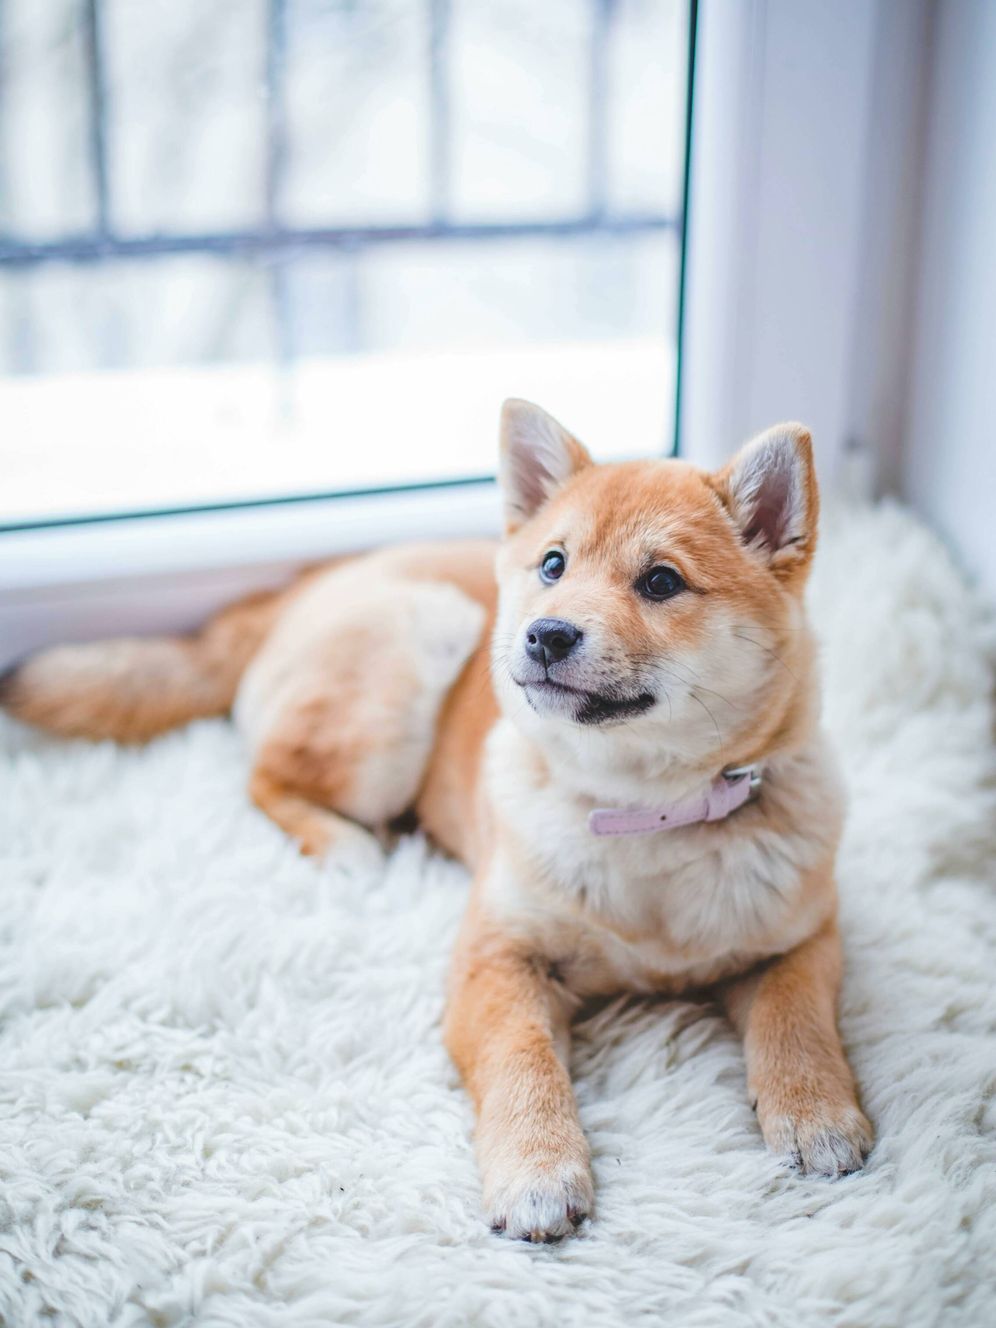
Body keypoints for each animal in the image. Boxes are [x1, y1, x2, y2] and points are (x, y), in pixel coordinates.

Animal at [0, 398, 871, 1237]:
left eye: (660, 582)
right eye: (553, 565)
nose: (545, 634)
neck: (642, 816)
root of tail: (307, 583)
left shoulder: (803, 935)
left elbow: (796, 1021)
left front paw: (815, 1111)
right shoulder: (497, 955)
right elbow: (523, 1061)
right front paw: (537, 1170)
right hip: (408, 662)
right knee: (265, 777)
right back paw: (346, 844)